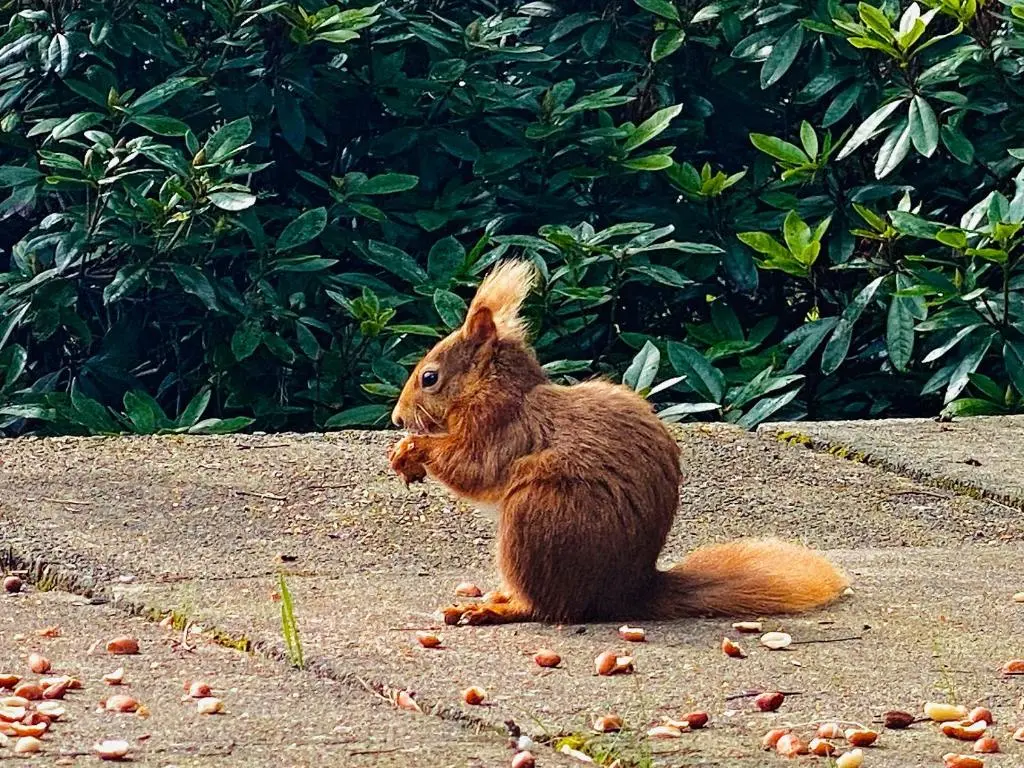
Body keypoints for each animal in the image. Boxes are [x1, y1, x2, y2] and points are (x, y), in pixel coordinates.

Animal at [388, 260, 848, 626]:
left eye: (429, 377)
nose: (397, 419)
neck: (492, 389)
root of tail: (626, 594)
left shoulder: (502, 429)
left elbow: (472, 468)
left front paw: (411, 451)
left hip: (536, 517)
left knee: (542, 607)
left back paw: (492, 609)